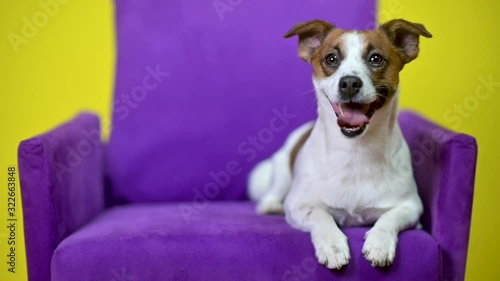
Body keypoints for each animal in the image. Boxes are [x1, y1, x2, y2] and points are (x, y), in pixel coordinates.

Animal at [248, 18, 432, 268]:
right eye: (331, 59)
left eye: (376, 58)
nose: (350, 83)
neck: (356, 150)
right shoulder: (298, 205)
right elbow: (320, 215)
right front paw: (332, 245)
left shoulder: (411, 207)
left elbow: (389, 217)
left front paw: (380, 243)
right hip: (282, 172)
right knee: (271, 194)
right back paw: (271, 206)